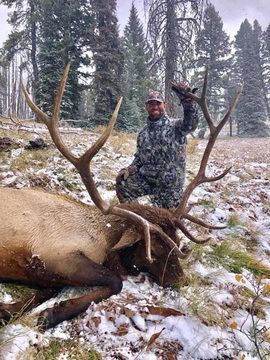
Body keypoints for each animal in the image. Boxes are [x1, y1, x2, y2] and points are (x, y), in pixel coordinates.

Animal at [0, 62, 243, 330]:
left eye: (177, 241)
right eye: (153, 249)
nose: (181, 281)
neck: (106, 240)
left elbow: (45, 293)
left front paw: (11, 309)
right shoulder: (53, 254)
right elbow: (116, 281)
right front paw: (53, 313)